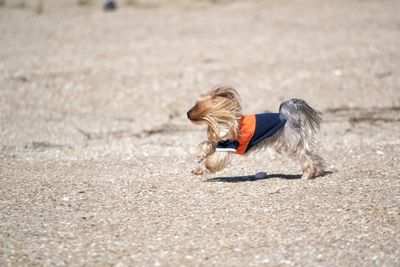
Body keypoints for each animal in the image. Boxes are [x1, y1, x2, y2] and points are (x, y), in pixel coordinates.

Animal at [187, 87, 324, 180]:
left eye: (197, 106)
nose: (187, 113)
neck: (221, 121)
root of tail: (288, 117)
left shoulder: (227, 145)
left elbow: (213, 160)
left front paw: (202, 168)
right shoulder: (218, 142)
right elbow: (206, 145)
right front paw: (200, 158)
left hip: (290, 142)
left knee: (305, 156)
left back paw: (307, 174)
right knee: (312, 154)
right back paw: (318, 171)